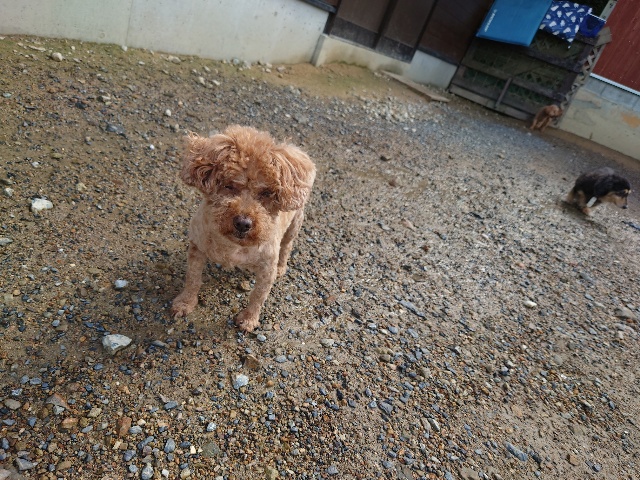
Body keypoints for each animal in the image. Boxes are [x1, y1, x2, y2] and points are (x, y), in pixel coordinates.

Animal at [171, 125, 316, 333]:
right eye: (229, 185)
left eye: (266, 193)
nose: (243, 223)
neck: (235, 246)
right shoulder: (197, 247)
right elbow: (192, 279)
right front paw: (184, 304)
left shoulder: (267, 267)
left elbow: (258, 296)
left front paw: (248, 320)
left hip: (295, 223)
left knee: (287, 245)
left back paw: (282, 267)